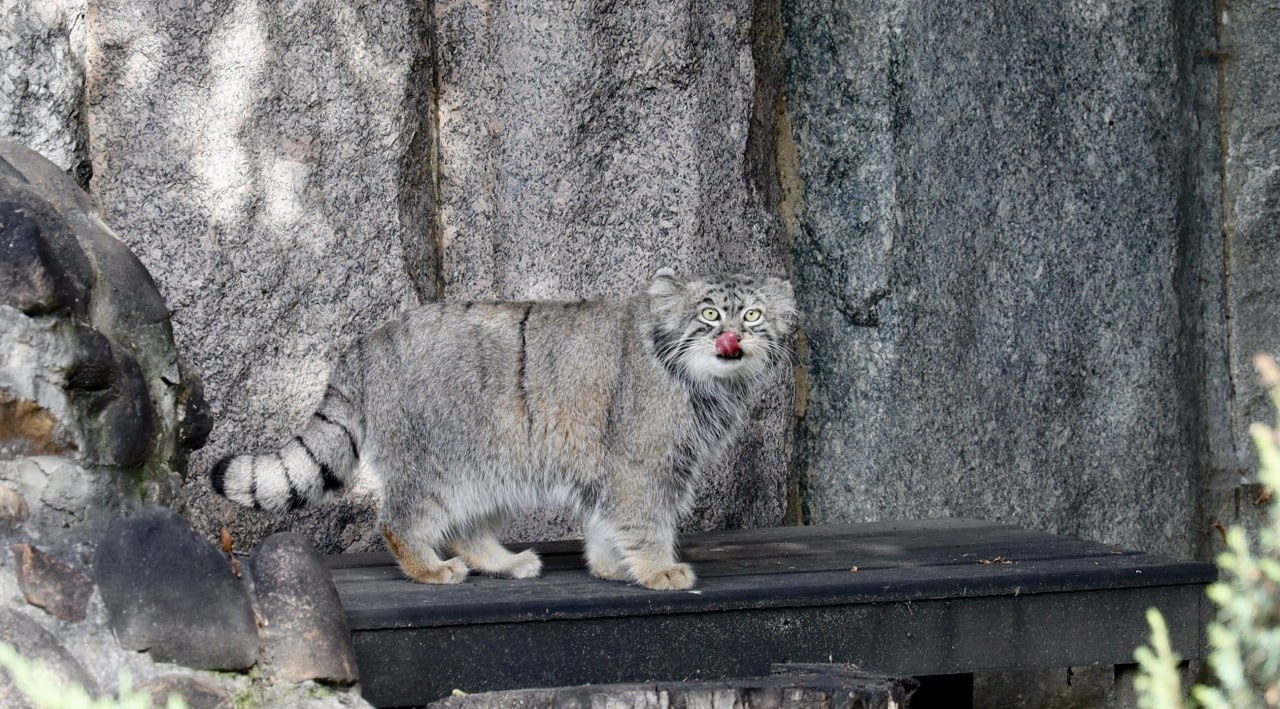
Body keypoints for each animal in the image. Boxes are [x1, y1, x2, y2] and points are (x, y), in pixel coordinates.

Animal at [209, 267, 793, 588]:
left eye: (755, 316)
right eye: (711, 314)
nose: (734, 339)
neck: (704, 381)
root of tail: (369, 340)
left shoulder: (616, 468)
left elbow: (605, 522)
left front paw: (611, 566)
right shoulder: (642, 465)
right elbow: (647, 522)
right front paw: (656, 571)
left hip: (491, 467)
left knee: (466, 528)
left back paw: (506, 563)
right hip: (439, 465)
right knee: (398, 520)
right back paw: (430, 569)